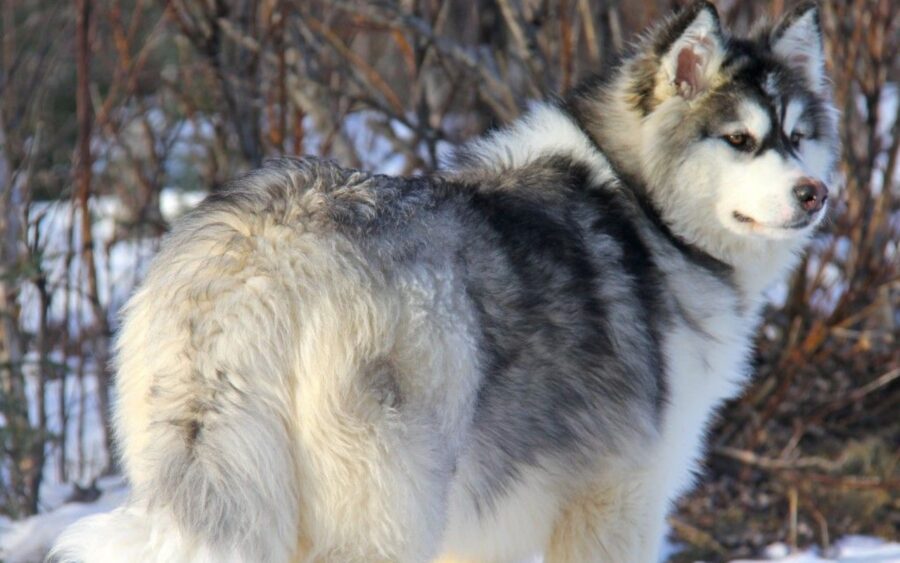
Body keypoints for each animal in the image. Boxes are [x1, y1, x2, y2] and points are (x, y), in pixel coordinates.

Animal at [54, 2, 836, 560]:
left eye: (798, 136)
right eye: (740, 140)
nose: (815, 194)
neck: (643, 209)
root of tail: (259, 256)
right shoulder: (620, 500)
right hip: (391, 513)